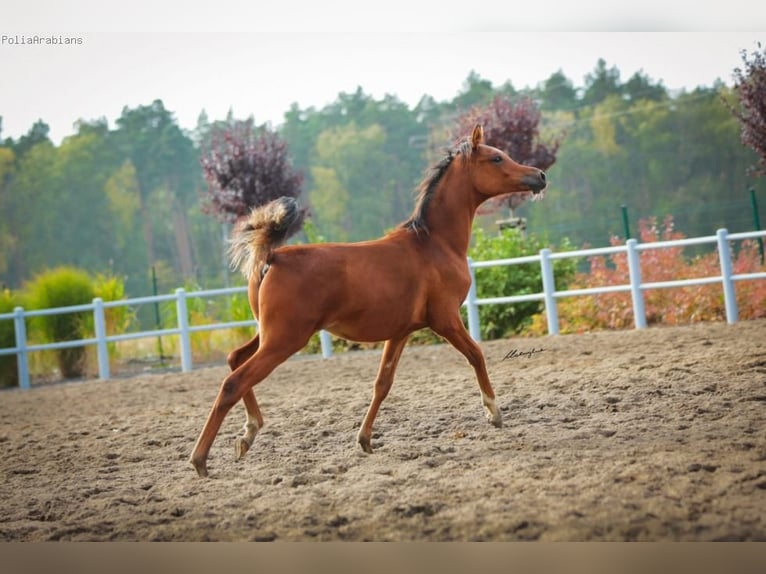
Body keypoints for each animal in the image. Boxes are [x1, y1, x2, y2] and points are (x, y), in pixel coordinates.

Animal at [189, 127, 548, 482]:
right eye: (496, 158)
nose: (540, 176)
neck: (434, 244)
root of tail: (272, 258)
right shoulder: (445, 319)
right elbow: (476, 354)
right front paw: (494, 412)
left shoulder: (401, 332)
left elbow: (382, 384)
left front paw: (364, 439)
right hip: (285, 339)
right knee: (234, 382)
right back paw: (201, 459)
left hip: (268, 334)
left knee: (235, 359)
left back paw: (248, 434)